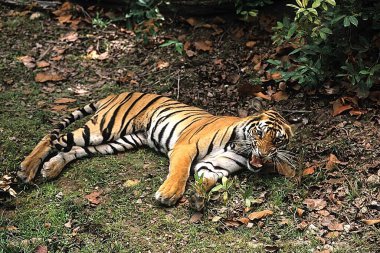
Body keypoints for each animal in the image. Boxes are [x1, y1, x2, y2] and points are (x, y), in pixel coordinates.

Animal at [18, 91, 294, 208]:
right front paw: (169, 195)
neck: (242, 147)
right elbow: (180, 173)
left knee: (72, 150)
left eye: (278, 141)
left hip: (117, 142)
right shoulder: (185, 148)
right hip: (104, 127)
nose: (265, 154)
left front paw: (197, 198)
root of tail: (117, 92)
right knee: (52, 137)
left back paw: (50, 168)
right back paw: (27, 169)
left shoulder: (215, 166)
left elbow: (206, 181)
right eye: (260, 133)